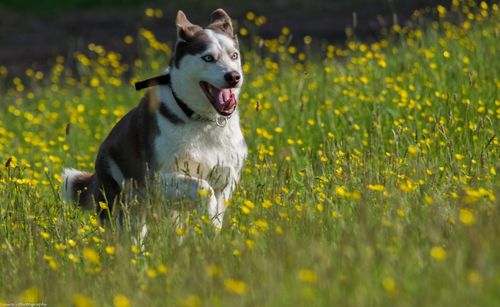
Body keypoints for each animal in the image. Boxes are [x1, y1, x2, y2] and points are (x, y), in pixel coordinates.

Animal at [61, 9, 247, 229]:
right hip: (121, 206)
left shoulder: (226, 179)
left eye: (234, 55)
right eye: (208, 58)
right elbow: (204, 188)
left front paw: (211, 230)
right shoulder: (157, 180)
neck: (201, 120)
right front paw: (206, 216)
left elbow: (216, 208)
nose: (233, 76)